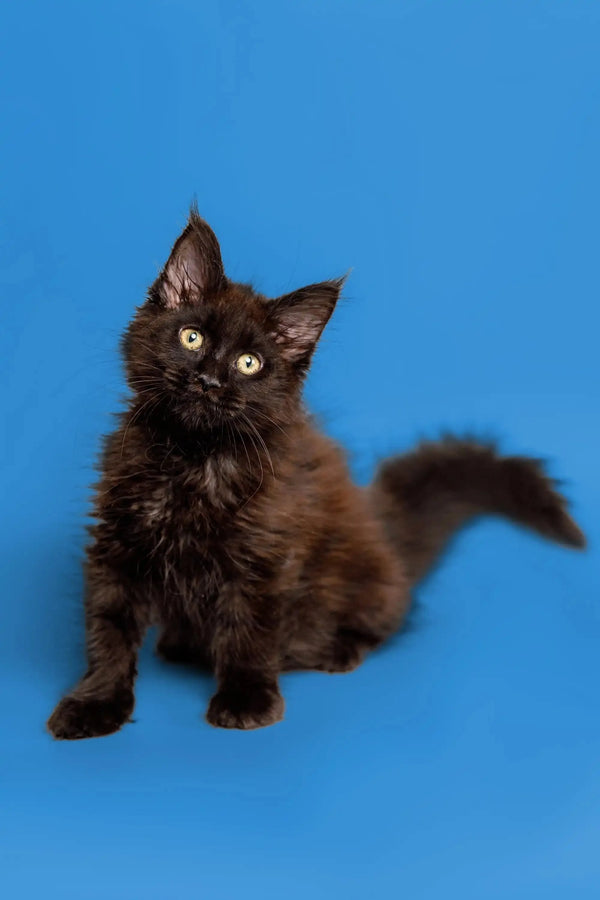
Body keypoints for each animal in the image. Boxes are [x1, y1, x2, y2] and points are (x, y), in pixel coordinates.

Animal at [48, 209, 584, 740]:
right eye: (192, 337)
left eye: (249, 363)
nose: (210, 381)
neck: (192, 460)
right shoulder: (116, 543)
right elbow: (108, 629)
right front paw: (96, 701)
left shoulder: (266, 554)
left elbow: (249, 632)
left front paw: (247, 699)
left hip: (362, 579)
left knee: (383, 618)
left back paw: (336, 650)